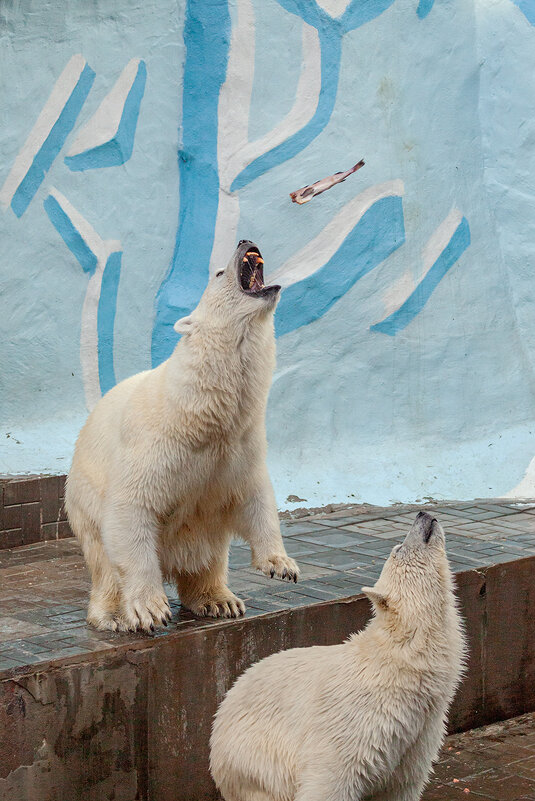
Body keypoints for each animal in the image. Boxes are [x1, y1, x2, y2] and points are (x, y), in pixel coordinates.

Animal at [65, 239, 300, 632]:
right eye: (218, 273)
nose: (244, 241)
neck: (200, 411)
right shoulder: (152, 445)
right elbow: (132, 509)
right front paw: (149, 609)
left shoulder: (240, 444)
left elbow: (255, 495)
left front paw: (281, 564)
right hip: (84, 500)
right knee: (105, 561)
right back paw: (113, 615)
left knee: (209, 556)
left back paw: (220, 600)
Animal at [211, 512, 466, 800]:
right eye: (398, 549)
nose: (423, 514)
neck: (401, 663)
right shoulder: (356, 721)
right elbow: (330, 777)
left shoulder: (419, 735)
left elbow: (401, 785)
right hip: (254, 758)